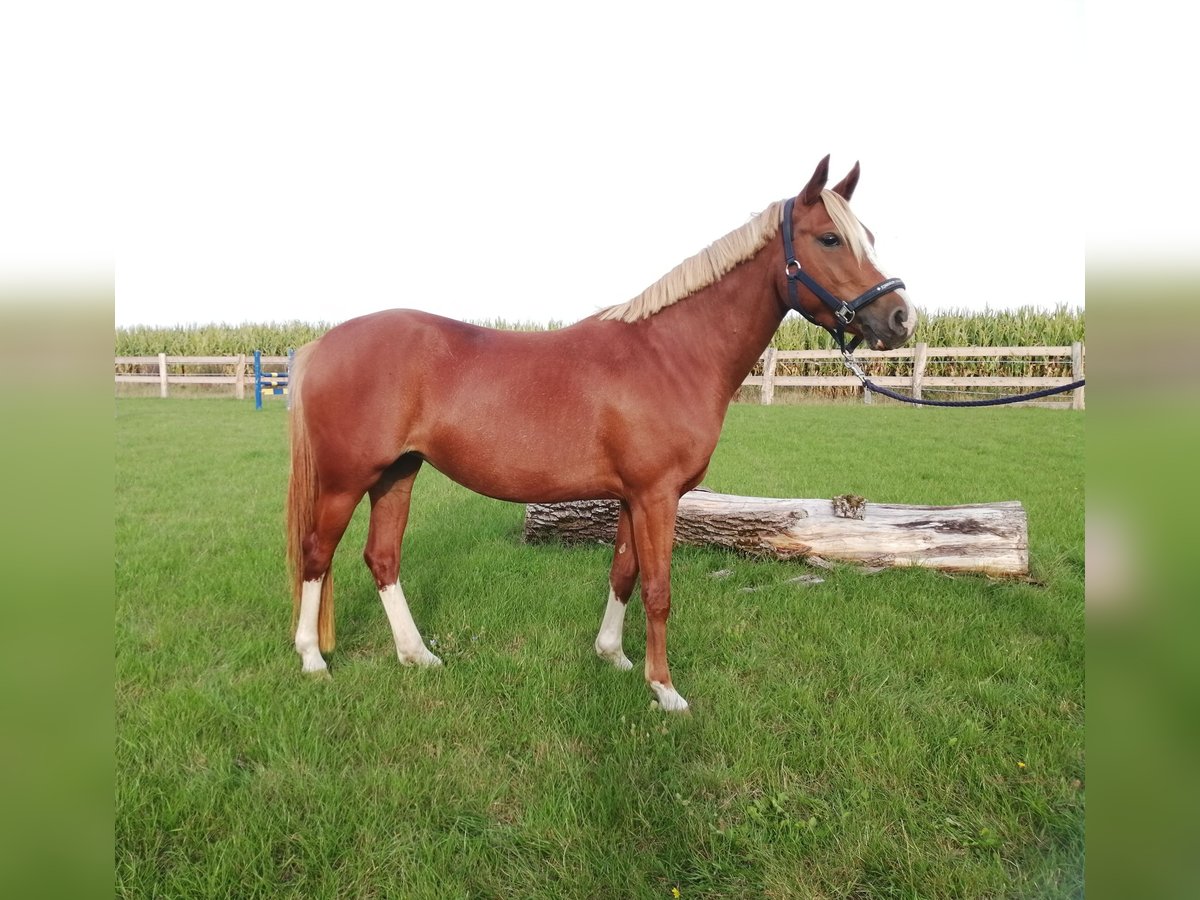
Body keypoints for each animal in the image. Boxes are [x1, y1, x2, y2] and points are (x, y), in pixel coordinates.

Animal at [285, 158, 912, 715]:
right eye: (830, 238)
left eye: (868, 236)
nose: (901, 317)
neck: (670, 355)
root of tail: (321, 345)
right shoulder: (657, 496)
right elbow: (658, 590)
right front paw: (666, 691)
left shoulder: (634, 496)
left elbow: (624, 573)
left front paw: (613, 657)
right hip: (345, 480)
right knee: (317, 552)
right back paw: (312, 660)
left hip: (398, 473)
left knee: (382, 558)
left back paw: (417, 656)